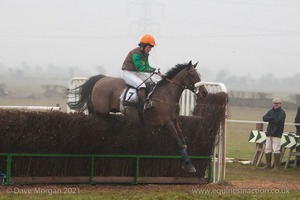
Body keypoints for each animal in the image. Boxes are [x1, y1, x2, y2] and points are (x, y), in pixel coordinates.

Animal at [68, 61, 209, 172]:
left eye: (200, 75)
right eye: (193, 75)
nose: (204, 93)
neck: (167, 95)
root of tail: (102, 79)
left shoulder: (175, 120)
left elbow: (183, 141)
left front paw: (185, 162)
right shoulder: (167, 123)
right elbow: (179, 142)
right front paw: (189, 165)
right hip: (101, 109)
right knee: (92, 110)